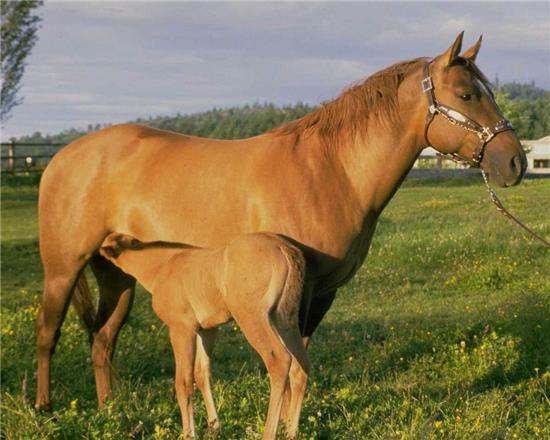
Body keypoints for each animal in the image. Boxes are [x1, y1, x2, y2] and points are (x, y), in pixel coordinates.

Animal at [100, 232, 310, 438]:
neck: (162, 267)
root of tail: (284, 248)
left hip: (252, 318)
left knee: (280, 360)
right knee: (300, 366)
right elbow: (202, 374)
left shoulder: (181, 329)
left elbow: (183, 383)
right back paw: (291, 433)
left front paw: (189, 433)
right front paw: (214, 427)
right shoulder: (207, 330)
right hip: (284, 320)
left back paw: (269, 433)